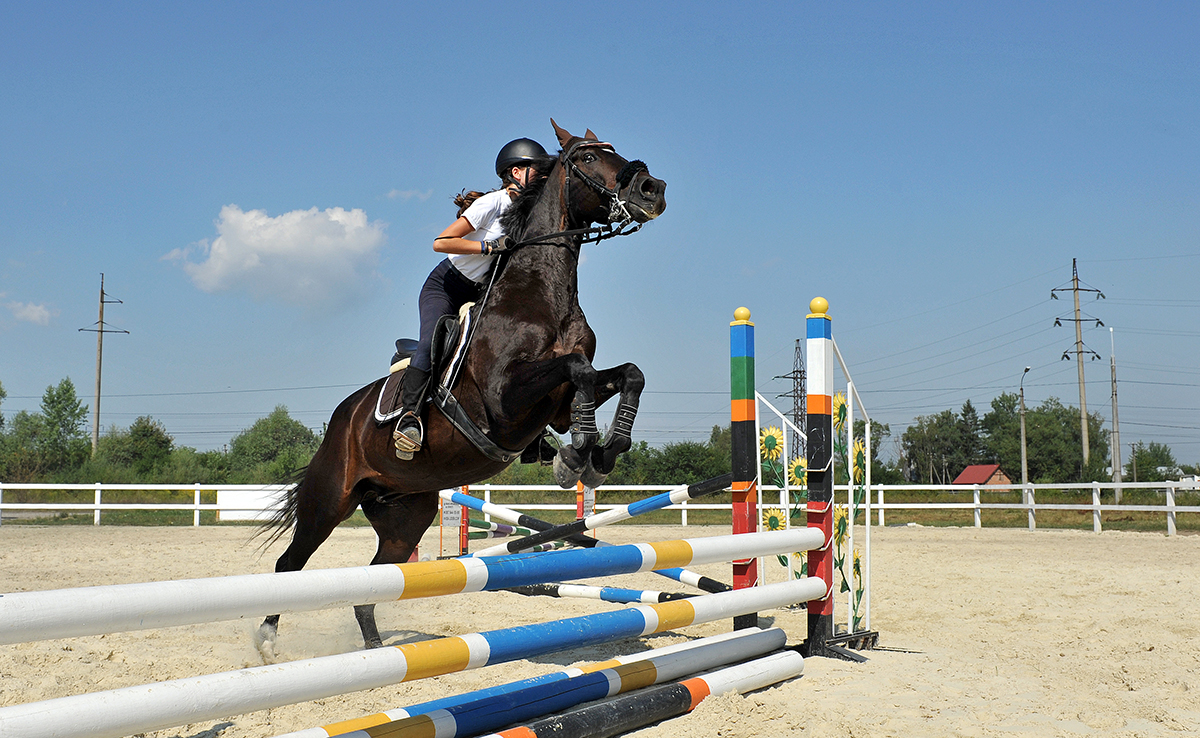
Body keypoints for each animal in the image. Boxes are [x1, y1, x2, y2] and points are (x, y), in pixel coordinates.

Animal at [258, 117, 667, 652]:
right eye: (587, 158)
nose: (652, 189)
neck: (541, 295)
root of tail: (340, 422)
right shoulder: (506, 402)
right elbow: (575, 367)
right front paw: (576, 454)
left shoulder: (556, 405)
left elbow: (626, 374)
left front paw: (601, 452)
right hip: (330, 499)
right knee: (292, 561)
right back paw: (268, 641)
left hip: (406, 512)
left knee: (374, 582)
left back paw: (374, 652)